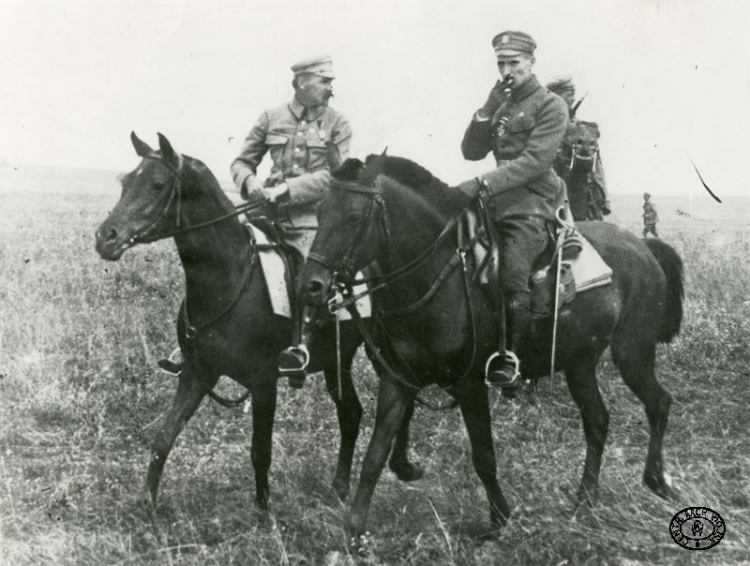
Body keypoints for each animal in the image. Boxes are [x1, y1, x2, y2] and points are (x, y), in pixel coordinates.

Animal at [93, 135, 424, 512]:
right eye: (124, 183)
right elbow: (164, 437)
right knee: (351, 414)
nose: (105, 238)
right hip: (337, 362)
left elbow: (259, 453)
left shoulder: (263, 381)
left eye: (158, 184)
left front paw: (265, 514)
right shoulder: (197, 373)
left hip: (381, 350)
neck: (229, 278)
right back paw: (339, 488)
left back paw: (401, 465)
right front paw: (147, 504)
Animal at [296, 154, 684, 536]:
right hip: (580, 362)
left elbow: (483, 456)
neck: (439, 278)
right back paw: (586, 497)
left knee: (659, 403)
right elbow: (375, 454)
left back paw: (656, 480)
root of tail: (643, 247)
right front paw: (353, 529)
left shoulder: (470, 386)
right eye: (319, 213)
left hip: (632, 352)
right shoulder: (398, 381)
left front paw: (499, 518)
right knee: (598, 419)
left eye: (354, 217)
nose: (311, 286)